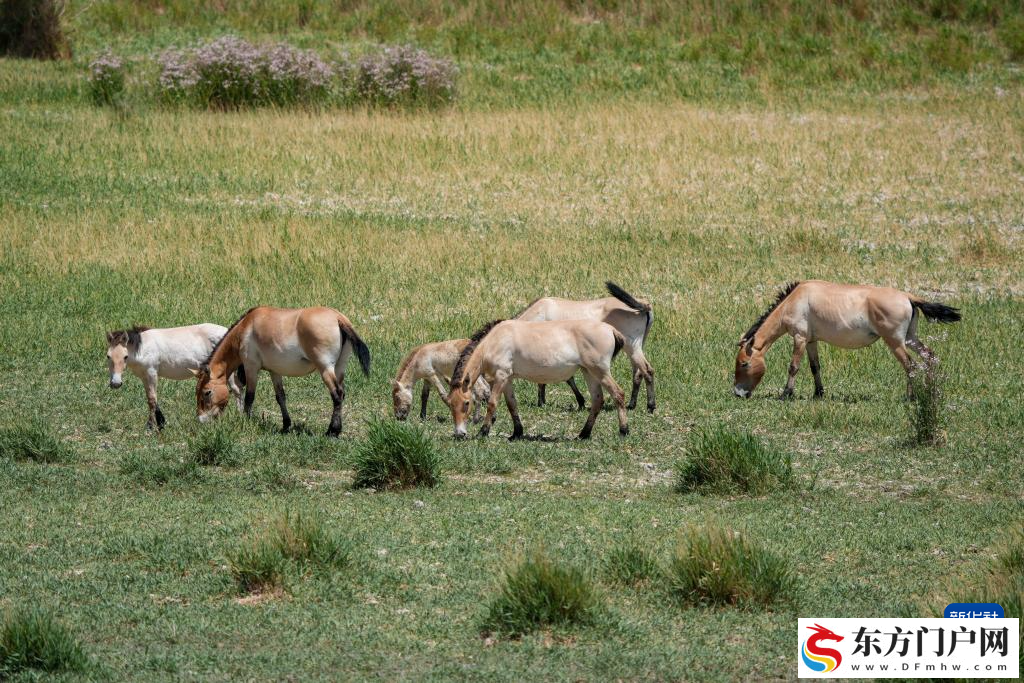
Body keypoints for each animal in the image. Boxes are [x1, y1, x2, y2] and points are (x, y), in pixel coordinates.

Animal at [106, 324, 244, 430]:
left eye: (125, 357)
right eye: (108, 356)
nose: (115, 383)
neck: (142, 348)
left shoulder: (151, 373)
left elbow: (152, 400)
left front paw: (151, 427)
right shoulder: (144, 377)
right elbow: (151, 399)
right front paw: (160, 422)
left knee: (236, 390)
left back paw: (239, 415)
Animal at [194, 306, 371, 437]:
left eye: (207, 392)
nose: (201, 420)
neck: (245, 328)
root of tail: (338, 318)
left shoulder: (251, 367)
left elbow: (250, 397)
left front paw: (246, 421)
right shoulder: (275, 372)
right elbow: (280, 397)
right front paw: (286, 425)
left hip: (326, 369)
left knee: (337, 395)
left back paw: (332, 431)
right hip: (339, 368)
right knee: (342, 394)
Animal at [447, 319, 629, 440]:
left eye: (467, 403)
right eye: (450, 404)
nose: (459, 434)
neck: (494, 341)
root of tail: (610, 329)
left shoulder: (501, 377)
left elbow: (492, 403)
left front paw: (483, 432)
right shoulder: (508, 380)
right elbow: (512, 405)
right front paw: (516, 433)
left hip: (600, 372)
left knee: (618, 394)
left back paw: (623, 431)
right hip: (589, 372)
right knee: (598, 400)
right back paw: (583, 434)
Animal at [516, 281, 655, 412]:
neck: (541, 311)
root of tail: (644, 305)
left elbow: (563, 378)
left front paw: (543, 402)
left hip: (632, 347)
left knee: (647, 370)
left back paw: (651, 406)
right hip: (636, 348)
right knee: (638, 373)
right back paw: (632, 404)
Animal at [733, 280, 961, 400]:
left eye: (744, 364)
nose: (737, 393)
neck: (795, 299)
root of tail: (908, 297)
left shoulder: (799, 338)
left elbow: (794, 367)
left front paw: (786, 394)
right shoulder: (811, 341)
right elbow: (815, 367)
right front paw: (819, 393)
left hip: (896, 342)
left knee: (910, 365)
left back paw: (910, 397)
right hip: (911, 339)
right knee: (930, 357)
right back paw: (930, 392)